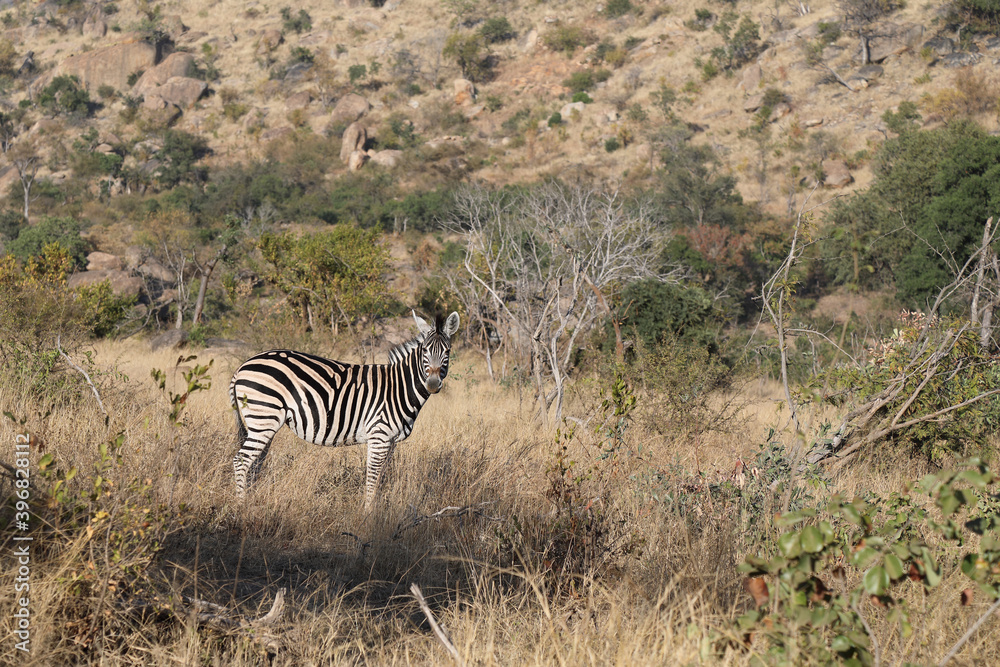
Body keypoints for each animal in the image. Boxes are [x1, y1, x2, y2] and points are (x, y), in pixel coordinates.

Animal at [228, 311, 460, 510]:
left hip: (262, 422)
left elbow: (382, 477)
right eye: (425, 351)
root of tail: (242, 366)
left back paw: (252, 498)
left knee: (255, 462)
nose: (432, 384)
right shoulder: (379, 435)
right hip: (264, 417)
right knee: (241, 461)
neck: (400, 386)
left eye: (447, 352)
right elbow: (372, 477)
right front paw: (368, 515)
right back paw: (242, 507)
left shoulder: (391, 441)